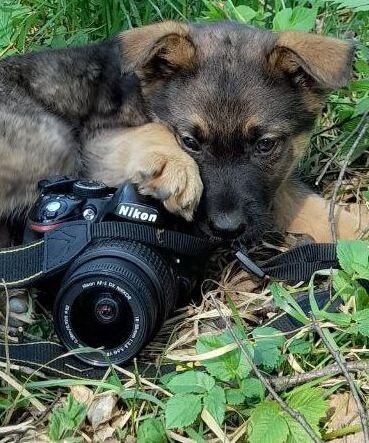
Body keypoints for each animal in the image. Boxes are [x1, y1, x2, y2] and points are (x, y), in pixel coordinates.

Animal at [0, 20, 366, 246]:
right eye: (189, 142)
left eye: (265, 145)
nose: (226, 230)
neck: (141, 93)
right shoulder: (94, 141)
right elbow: (148, 131)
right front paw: (173, 166)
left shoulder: (271, 186)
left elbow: (304, 201)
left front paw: (355, 229)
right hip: (54, 141)